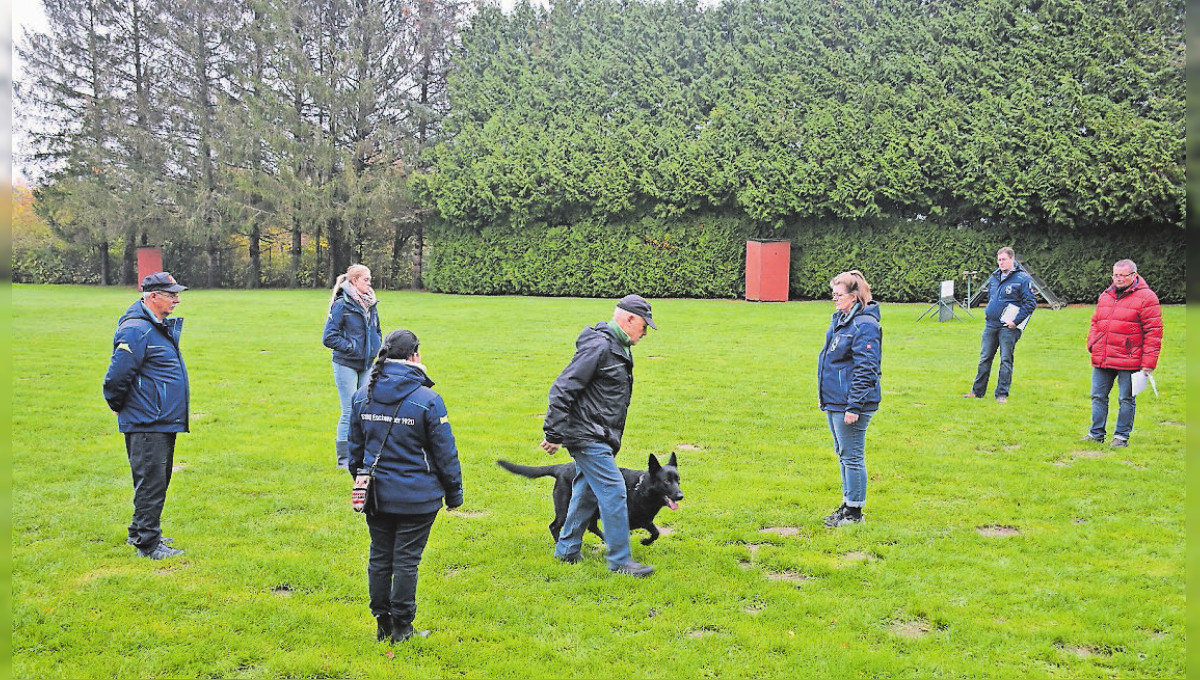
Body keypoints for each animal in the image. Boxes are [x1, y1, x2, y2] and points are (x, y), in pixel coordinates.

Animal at [496, 453, 686, 549]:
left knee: (591, 527)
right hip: (565, 509)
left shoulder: (645, 520)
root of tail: (560, 468)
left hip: (591, 510)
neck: (641, 489)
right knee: (554, 526)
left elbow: (656, 532)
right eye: (666, 482)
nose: (680, 496)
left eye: (678, 480)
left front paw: (646, 541)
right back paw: (559, 544)